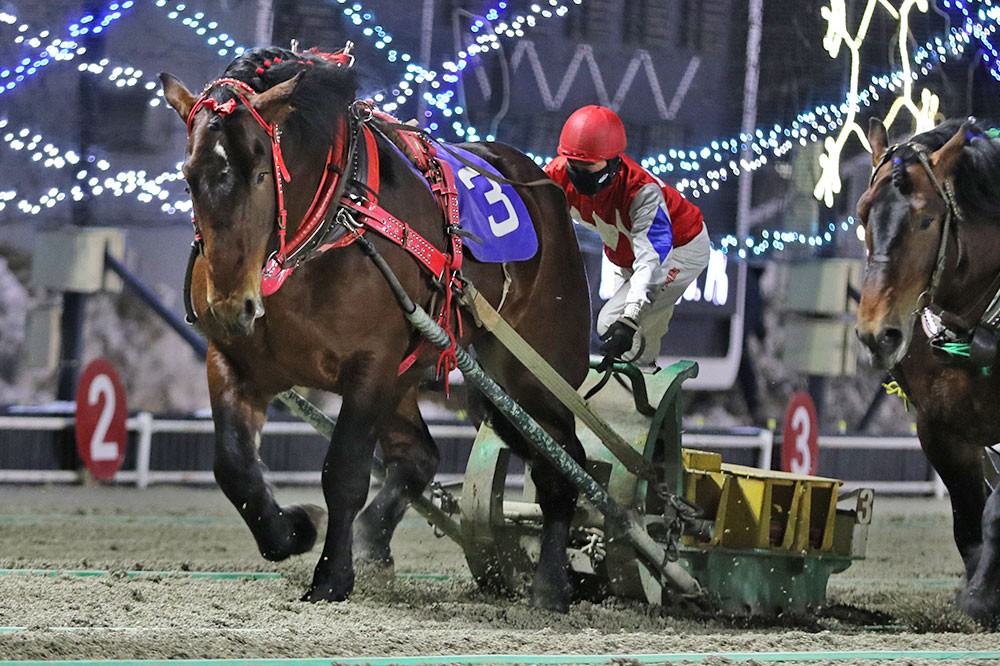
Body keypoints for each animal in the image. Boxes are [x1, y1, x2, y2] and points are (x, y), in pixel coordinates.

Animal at [159, 45, 588, 608]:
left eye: (259, 174)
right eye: (190, 177)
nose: (234, 305)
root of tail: (544, 189)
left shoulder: (372, 365)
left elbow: (343, 470)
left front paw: (331, 575)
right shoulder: (234, 360)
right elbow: (233, 467)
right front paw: (293, 529)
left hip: (531, 374)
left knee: (564, 463)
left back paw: (552, 583)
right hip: (418, 377)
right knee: (419, 458)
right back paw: (376, 540)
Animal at [860, 116, 1000, 624]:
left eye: (926, 220)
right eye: (862, 214)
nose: (878, 334)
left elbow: (995, 513)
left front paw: (981, 597)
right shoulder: (941, 430)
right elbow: (969, 523)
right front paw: (981, 592)